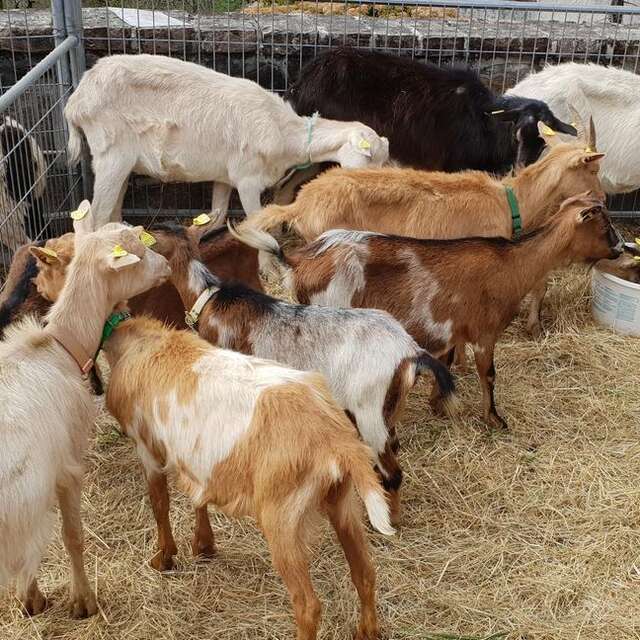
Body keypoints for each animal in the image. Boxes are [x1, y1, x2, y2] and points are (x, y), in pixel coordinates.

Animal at [0, 208, 170, 616]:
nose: (167, 265)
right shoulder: (66, 465)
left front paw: (31, 599)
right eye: (137, 252)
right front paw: (83, 601)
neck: (60, 346)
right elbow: (71, 535)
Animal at [62, 53, 388, 228]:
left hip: (122, 162)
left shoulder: (225, 177)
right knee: (95, 218)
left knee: (112, 212)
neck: (284, 132)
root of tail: (75, 101)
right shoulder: (247, 180)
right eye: (369, 157)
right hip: (110, 153)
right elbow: (258, 221)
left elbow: (215, 218)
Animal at [232, 192, 624, 428]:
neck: (511, 265)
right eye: (604, 225)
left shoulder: (452, 330)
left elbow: (447, 363)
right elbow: (489, 374)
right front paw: (494, 420)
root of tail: (300, 260)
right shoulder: (484, 332)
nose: (622, 248)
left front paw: (439, 405)